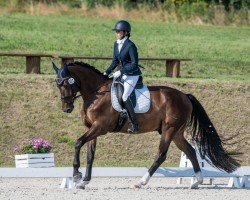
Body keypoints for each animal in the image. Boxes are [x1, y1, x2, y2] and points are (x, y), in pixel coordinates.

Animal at [52, 61, 240, 189]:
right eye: (57, 84)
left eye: (67, 83)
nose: (66, 108)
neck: (96, 92)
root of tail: (185, 96)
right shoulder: (91, 128)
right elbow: (90, 155)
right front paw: (84, 181)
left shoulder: (100, 127)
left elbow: (78, 143)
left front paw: (76, 175)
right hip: (177, 133)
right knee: (190, 151)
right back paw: (197, 182)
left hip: (169, 130)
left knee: (161, 155)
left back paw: (141, 182)